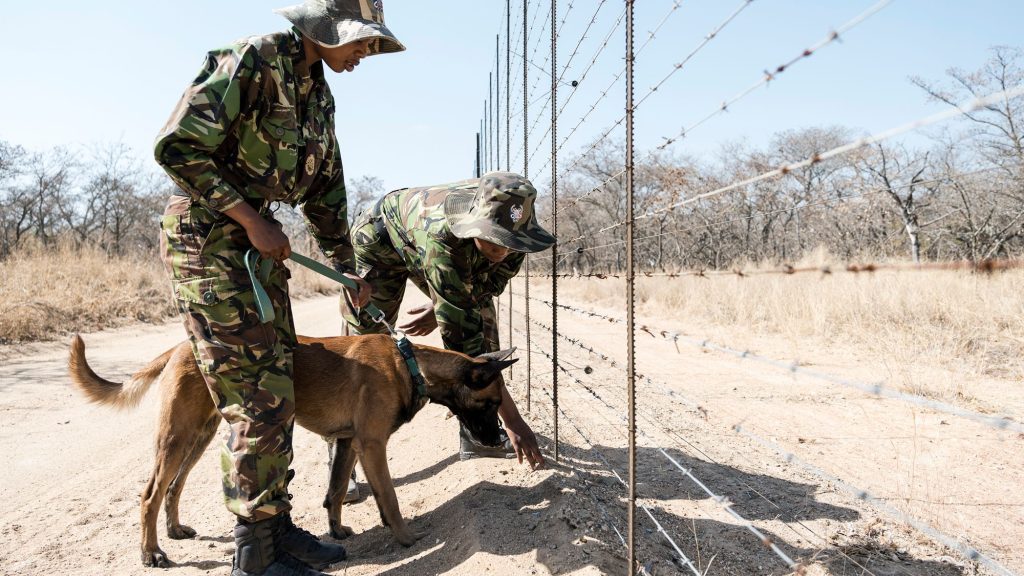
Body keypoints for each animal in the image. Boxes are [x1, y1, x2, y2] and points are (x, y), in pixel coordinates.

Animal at [70, 332, 520, 565]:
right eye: (492, 403)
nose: (497, 441)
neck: (410, 363)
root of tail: (181, 346)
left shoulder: (347, 443)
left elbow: (335, 491)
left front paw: (336, 530)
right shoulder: (372, 444)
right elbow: (389, 498)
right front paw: (407, 537)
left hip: (199, 436)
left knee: (174, 488)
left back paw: (175, 530)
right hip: (178, 437)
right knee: (150, 494)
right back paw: (151, 553)